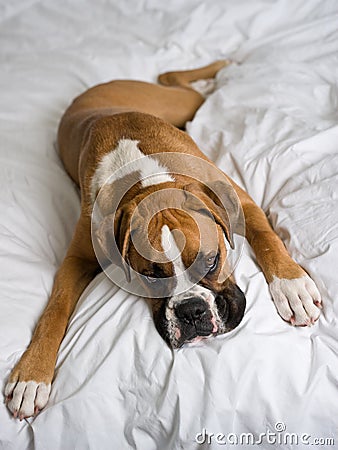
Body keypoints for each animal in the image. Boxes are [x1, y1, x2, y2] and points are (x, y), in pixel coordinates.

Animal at [5, 60, 322, 418]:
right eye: (150, 277)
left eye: (212, 262)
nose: (192, 311)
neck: (149, 182)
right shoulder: (77, 259)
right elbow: (55, 309)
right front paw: (31, 376)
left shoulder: (243, 203)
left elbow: (267, 238)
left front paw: (293, 288)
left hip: (180, 102)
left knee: (175, 80)